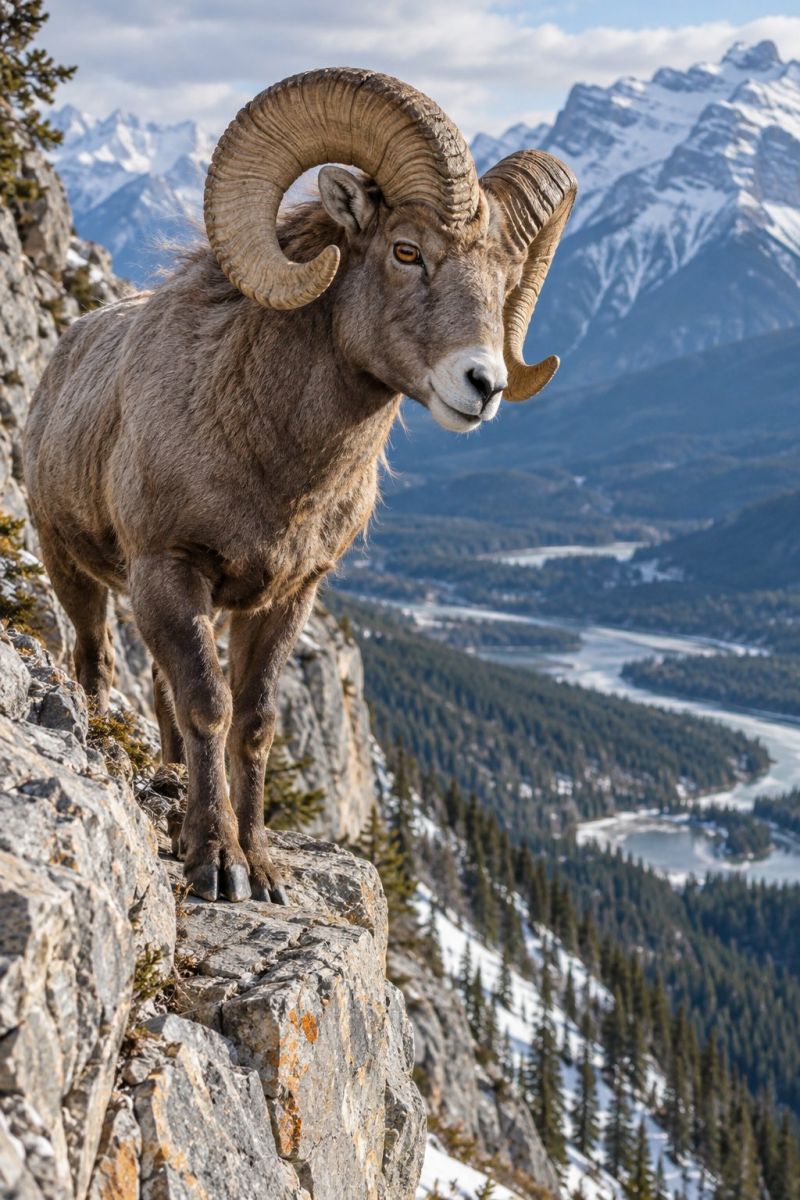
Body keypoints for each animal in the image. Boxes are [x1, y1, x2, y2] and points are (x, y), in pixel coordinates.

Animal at [24, 68, 576, 903]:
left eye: (507, 279)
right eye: (406, 251)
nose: (483, 385)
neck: (273, 465)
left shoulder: (287, 597)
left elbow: (252, 722)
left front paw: (261, 864)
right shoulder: (170, 572)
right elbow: (209, 706)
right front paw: (215, 865)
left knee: (157, 691)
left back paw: (172, 786)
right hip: (75, 572)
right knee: (97, 664)